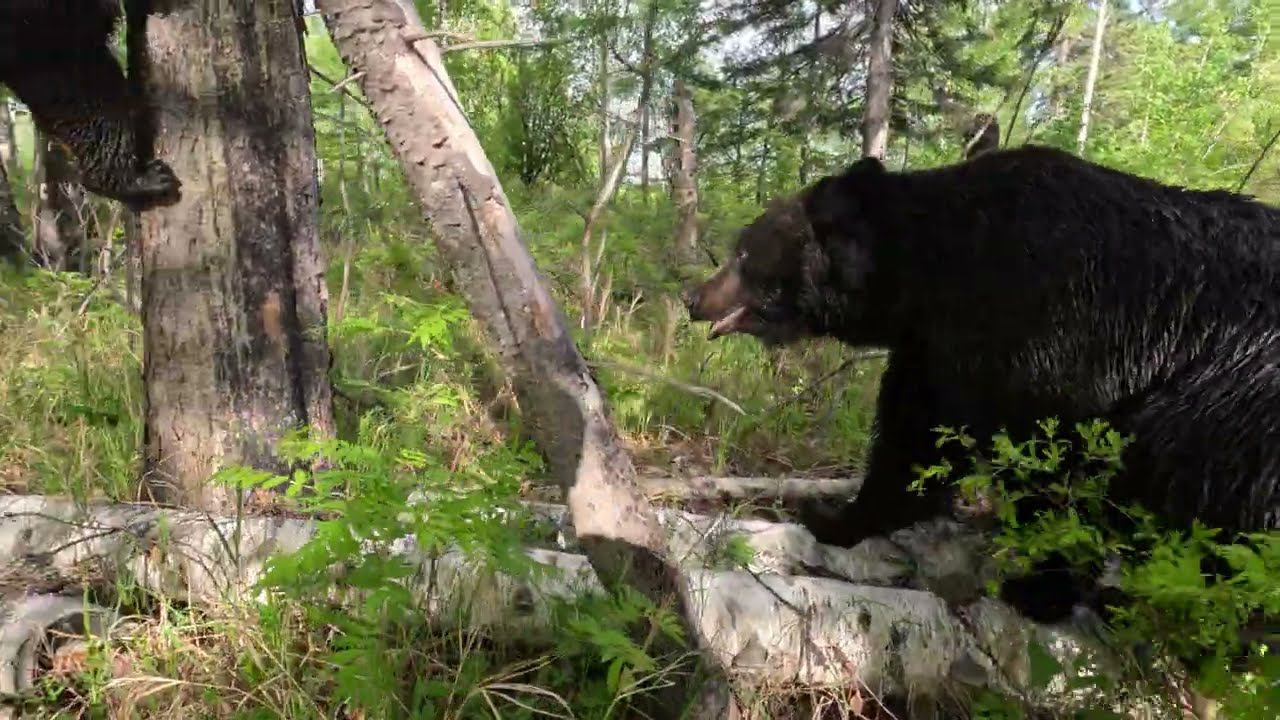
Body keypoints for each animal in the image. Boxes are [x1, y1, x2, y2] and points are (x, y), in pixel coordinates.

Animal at [686, 144, 1274, 617]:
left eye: (744, 250)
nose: (694, 297)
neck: (934, 273)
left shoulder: (1051, 336)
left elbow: (1048, 464)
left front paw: (1040, 588)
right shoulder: (938, 350)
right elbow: (912, 441)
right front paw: (837, 516)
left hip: (1226, 404)